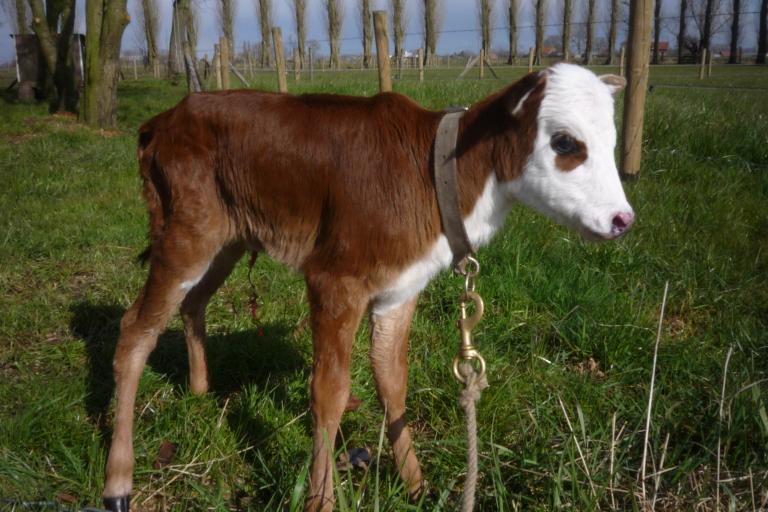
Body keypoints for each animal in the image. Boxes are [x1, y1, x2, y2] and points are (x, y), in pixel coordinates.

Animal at [102, 64, 632, 512]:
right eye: (565, 142)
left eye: (611, 143)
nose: (622, 220)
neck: (438, 174)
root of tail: (163, 119)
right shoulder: (336, 279)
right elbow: (329, 391)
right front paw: (321, 500)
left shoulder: (401, 288)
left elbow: (392, 380)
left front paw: (416, 485)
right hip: (186, 229)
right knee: (134, 330)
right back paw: (118, 481)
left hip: (228, 235)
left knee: (193, 302)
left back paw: (199, 393)